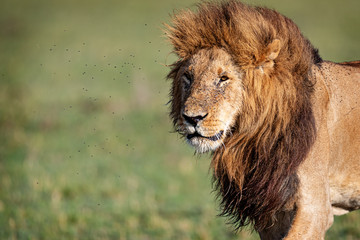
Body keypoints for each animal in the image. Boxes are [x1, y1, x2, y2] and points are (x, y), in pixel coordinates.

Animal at [165, 0, 360, 239]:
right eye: (188, 76)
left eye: (223, 78)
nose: (191, 118)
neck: (255, 138)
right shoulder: (272, 214)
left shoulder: (315, 208)